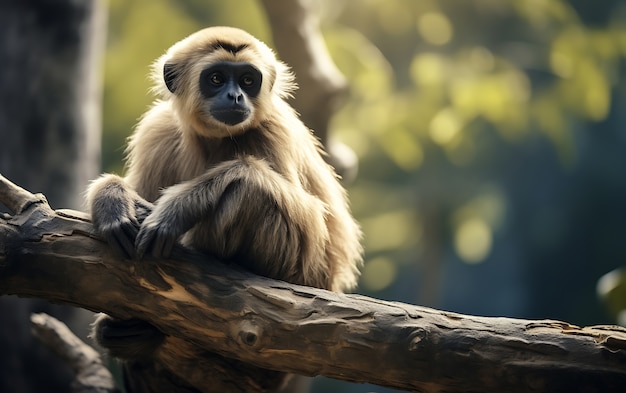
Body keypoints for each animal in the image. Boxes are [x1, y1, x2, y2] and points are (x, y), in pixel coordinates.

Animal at [85, 26, 364, 390]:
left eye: (247, 80)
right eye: (216, 79)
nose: (235, 97)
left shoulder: (275, 128)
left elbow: (311, 220)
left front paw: (179, 207)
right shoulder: (157, 130)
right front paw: (112, 200)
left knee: (249, 193)